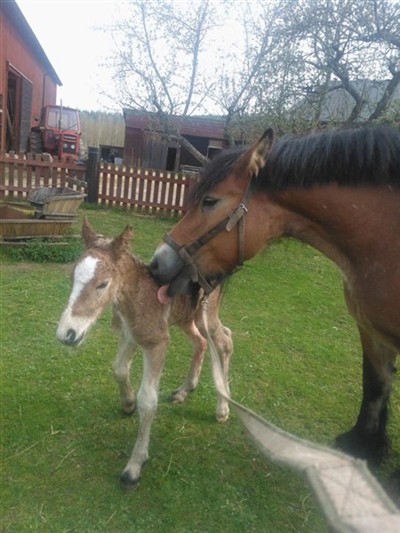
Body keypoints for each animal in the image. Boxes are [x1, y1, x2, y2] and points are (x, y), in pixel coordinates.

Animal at [55, 217, 231, 486]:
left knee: (225, 341)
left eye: (102, 284)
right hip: (186, 318)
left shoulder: (156, 343)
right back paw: (184, 390)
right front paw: (128, 404)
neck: (138, 297)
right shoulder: (130, 335)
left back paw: (222, 407)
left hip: (206, 317)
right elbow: (118, 369)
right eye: (71, 277)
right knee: (201, 343)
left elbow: (148, 400)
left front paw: (135, 465)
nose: (67, 334)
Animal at [149, 124, 400, 462]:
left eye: (210, 201)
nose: (157, 263)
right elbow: (374, 385)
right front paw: (364, 448)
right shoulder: (372, 333)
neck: (383, 238)